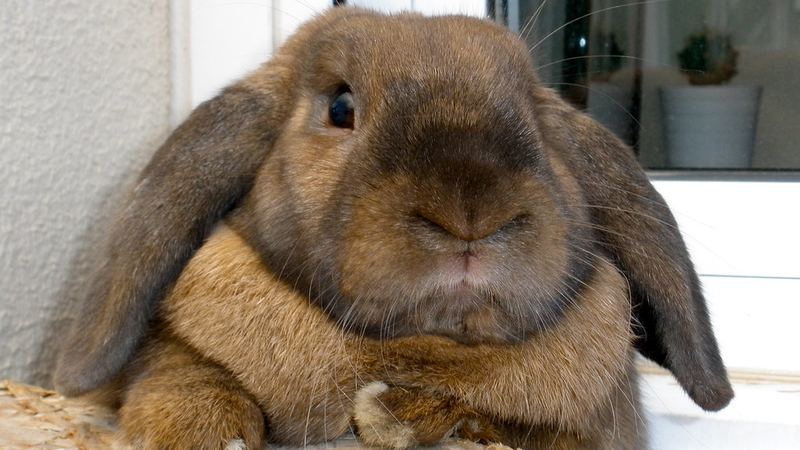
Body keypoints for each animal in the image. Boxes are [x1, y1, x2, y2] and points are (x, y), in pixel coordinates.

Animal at [53, 6, 733, 450]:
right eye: (340, 107)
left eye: (538, 119)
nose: (470, 213)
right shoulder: (171, 354)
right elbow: (181, 371)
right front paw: (206, 429)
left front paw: (398, 414)